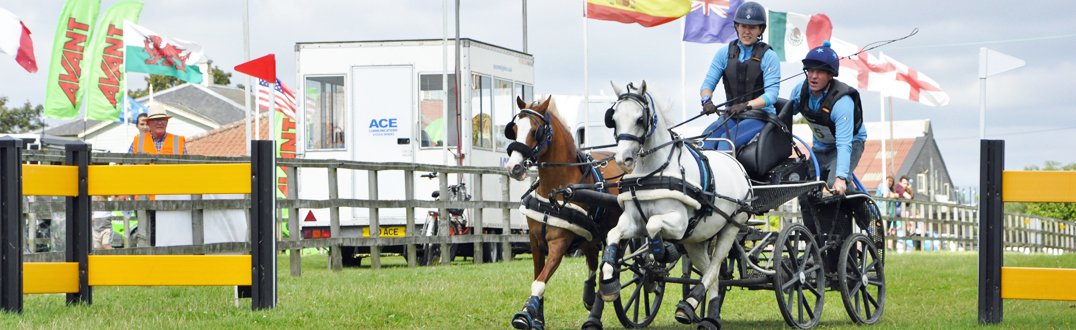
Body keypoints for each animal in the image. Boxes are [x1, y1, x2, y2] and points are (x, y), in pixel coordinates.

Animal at [505, 96, 628, 330]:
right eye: (514, 129)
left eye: (535, 131)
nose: (513, 167)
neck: (555, 191)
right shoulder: (536, 241)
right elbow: (538, 276)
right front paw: (536, 318)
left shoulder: (559, 243)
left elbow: (539, 283)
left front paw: (525, 313)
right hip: (590, 235)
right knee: (592, 262)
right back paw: (589, 297)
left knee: (605, 271)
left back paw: (594, 316)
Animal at [602, 80, 753, 330]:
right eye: (613, 119)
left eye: (640, 119)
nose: (622, 160)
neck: (652, 171)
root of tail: (734, 161)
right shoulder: (632, 222)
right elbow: (612, 235)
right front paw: (608, 283)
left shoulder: (679, 223)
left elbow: (653, 225)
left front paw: (665, 252)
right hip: (697, 240)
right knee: (711, 274)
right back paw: (707, 315)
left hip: (732, 226)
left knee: (714, 268)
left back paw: (692, 303)